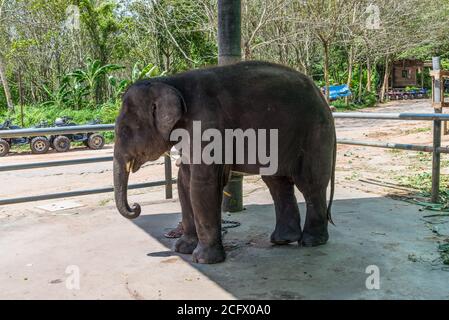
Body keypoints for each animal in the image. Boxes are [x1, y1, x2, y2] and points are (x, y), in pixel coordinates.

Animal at [114, 61, 334, 264]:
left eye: (124, 130)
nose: (136, 206)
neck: (169, 81)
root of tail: (322, 97)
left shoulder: (207, 123)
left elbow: (202, 183)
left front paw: (203, 260)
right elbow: (184, 180)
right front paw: (182, 249)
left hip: (314, 132)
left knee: (310, 183)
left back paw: (311, 241)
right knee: (277, 183)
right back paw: (283, 240)